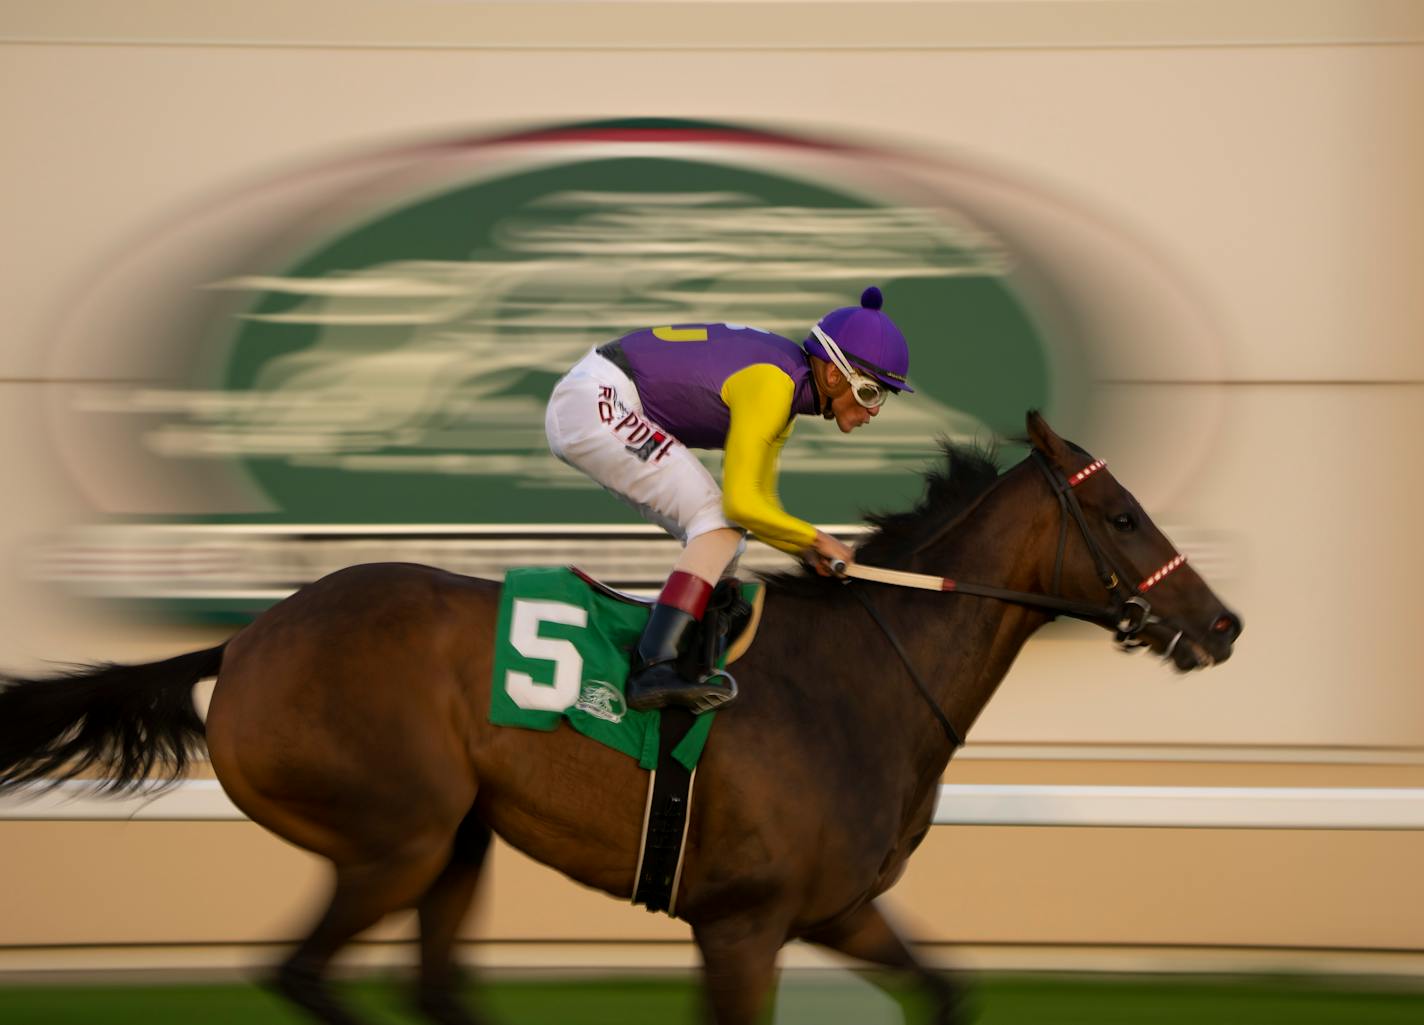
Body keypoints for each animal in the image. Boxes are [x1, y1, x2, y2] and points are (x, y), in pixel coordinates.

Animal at [0, 415, 1236, 1025]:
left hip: (456, 841)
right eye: (1124, 513)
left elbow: (944, 990)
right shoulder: (741, 923)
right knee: (306, 973)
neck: (860, 680)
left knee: (433, 986)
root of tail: (249, 637)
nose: (1220, 624)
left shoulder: (834, 911)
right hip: (393, 836)